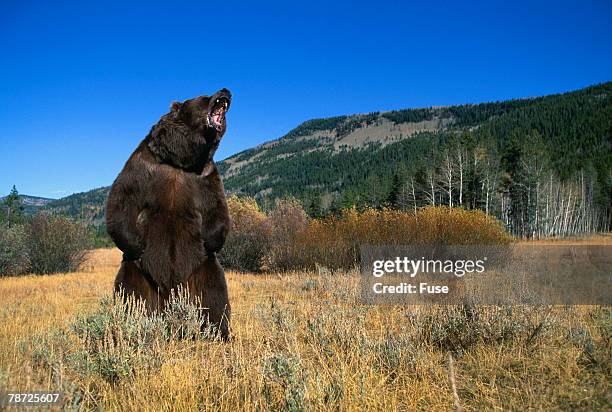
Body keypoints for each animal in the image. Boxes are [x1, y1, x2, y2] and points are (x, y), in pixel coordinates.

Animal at [105, 88, 232, 340]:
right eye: (205, 96)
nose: (226, 90)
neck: (180, 160)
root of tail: (169, 297)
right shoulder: (143, 165)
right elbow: (121, 198)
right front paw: (135, 243)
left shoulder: (206, 177)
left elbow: (217, 208)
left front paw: (210, 240)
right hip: (139, 273)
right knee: (129, 295)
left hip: (202, 270)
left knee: (215, 297)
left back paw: (219, 333)